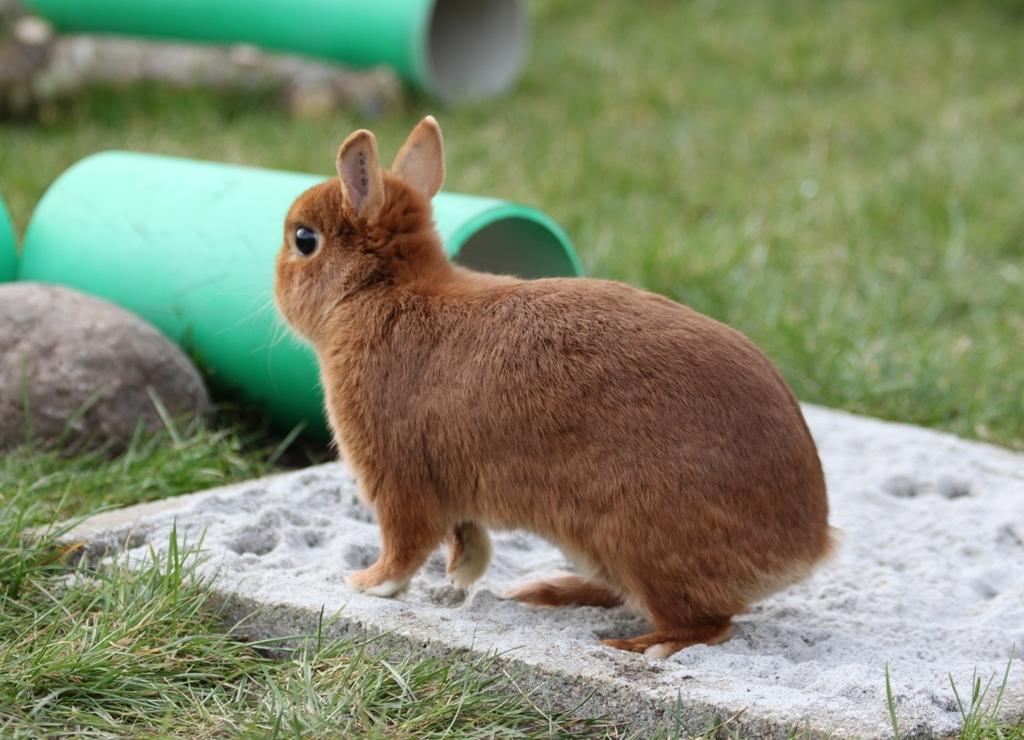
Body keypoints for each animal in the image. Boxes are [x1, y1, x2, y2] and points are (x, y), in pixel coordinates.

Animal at [274, 117, 831, 659]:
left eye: (304, 239)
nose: (274, 284)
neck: (381, 291)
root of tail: (808, 547)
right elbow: (466, 540)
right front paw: (460, 576)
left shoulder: (398, 478)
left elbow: (404, 547)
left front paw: (365, 583)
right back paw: (546, 592)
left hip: (639, 538)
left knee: (707, 624)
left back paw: (641, 645)